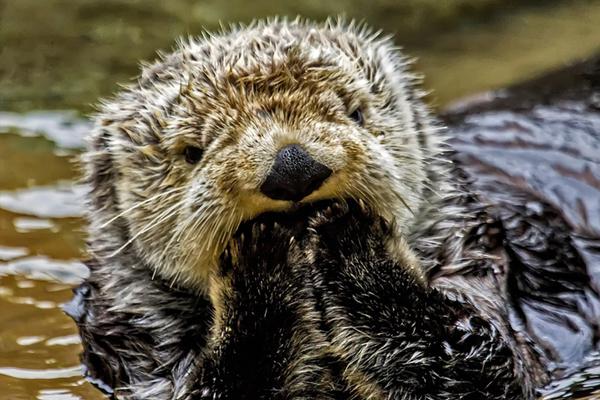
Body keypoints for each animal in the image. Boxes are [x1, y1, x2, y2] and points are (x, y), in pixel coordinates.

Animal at [68, 18, 600, 396]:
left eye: (356, 112)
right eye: (192, 151)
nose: (293, 166)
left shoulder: (477, 258)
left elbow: (484, 356)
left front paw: (350, 241)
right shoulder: (139, 342)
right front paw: (263, 261)